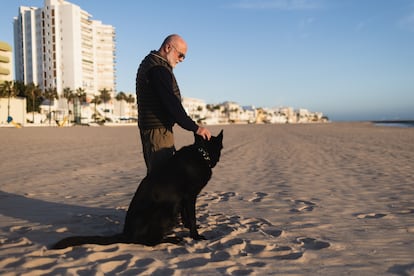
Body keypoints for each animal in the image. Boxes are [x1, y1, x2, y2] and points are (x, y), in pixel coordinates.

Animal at [53, 130, 225, 249]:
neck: (201, 153)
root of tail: (126, 233)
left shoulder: (182, 199)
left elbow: (187, 217)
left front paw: (189, 228)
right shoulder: (190, 197)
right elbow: (193, 218)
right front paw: (195, 236)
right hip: (165, 211)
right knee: (149, 242)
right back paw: (172, 239)